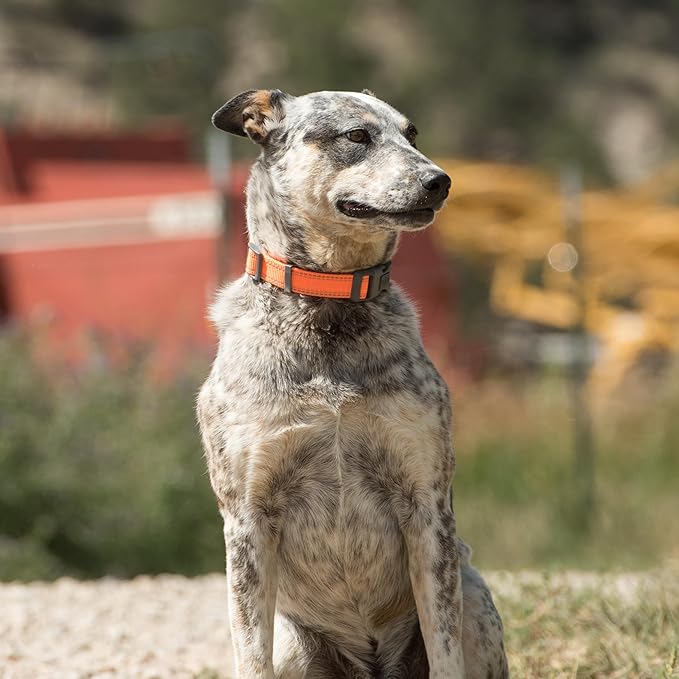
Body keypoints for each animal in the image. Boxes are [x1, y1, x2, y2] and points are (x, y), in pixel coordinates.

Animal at [194, 90, 508, 679]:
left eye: (412, 133)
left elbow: (445, 647)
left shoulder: (426, 505)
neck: (331, 301)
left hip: (476, 597)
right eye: (356, 135)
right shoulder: (247, 519)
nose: (439, 181)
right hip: (295, 642)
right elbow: (250, 652)